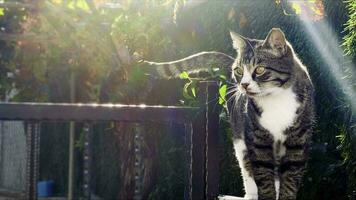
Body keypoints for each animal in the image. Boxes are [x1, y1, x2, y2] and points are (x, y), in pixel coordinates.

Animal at [140, 28, 316, 200]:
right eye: (239, 70)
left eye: (259, 69)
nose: (244, 84)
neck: (276, 100)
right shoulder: (257, 138)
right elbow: (263, 175)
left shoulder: (298, 140)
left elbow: (290, 178)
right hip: (240, 137)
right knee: (247, 166)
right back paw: (251, 194)